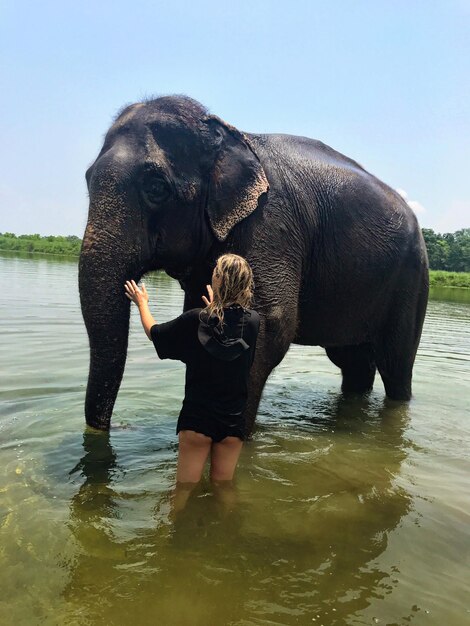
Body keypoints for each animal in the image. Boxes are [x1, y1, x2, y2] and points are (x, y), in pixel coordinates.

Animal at [80, 95, 430, 432]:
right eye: (87, 179)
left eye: (155, 187)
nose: (115, 428)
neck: (229, 134)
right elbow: (198, 320)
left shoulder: (271, 223)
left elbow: (270, 322)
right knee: (353, 361)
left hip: (412, 279)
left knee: (396, 366)